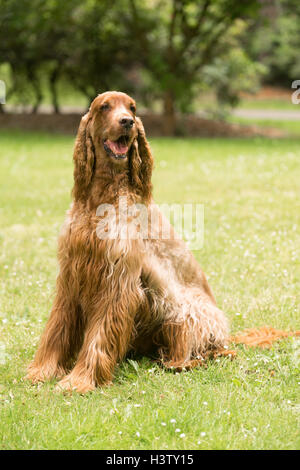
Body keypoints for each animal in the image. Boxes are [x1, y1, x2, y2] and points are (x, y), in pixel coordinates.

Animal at [26, 92, 227, 392]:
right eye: (104, 106)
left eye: (131, 108)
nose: (127, 122)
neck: (103, 196)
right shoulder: (72, 275)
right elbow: (56, 328)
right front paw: (42, 370)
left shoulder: (117, 282)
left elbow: (98, 335)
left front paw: (80, 380)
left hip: (186, 310)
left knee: (201, 350)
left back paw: (177, 362)